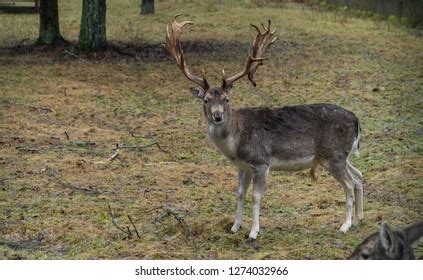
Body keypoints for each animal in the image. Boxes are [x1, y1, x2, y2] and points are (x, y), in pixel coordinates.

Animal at [166, 14, 364, 238]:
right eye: (206, 100)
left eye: (226, 99)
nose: (217, 116)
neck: (235, 144)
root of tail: (356, 119)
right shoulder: (242, 166)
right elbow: (240, 194)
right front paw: (234, 227)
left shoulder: (261, 162)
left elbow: (256, 196)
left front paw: (253, 232)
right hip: (339, 156)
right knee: (358, 176)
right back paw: (359, 219)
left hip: (333, 155)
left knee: (349, 184)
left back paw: (345, 225)